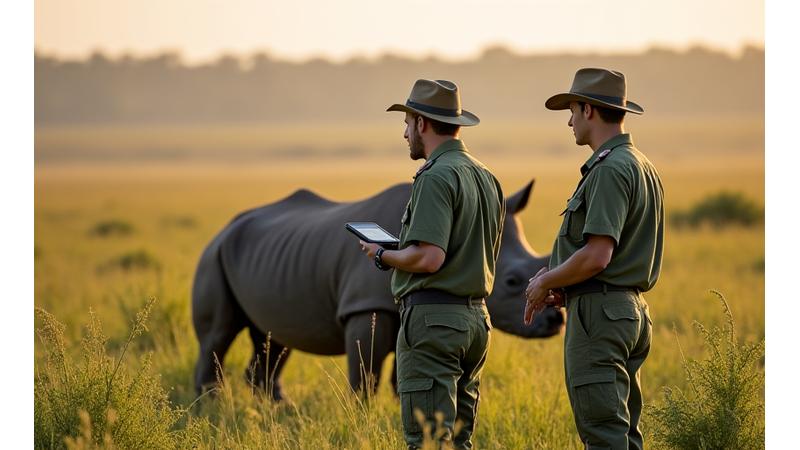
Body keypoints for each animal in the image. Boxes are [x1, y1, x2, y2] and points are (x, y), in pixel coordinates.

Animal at [191, 180, 564, 399]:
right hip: (213, 255)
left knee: (274, 339)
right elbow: (365, 378)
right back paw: (211, 409)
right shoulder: (366, 306)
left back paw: (276, 410)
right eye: (512, 282)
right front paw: (361, 419)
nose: (555, 322)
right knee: (219, 335)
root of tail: (224, 228)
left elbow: (407, 381)